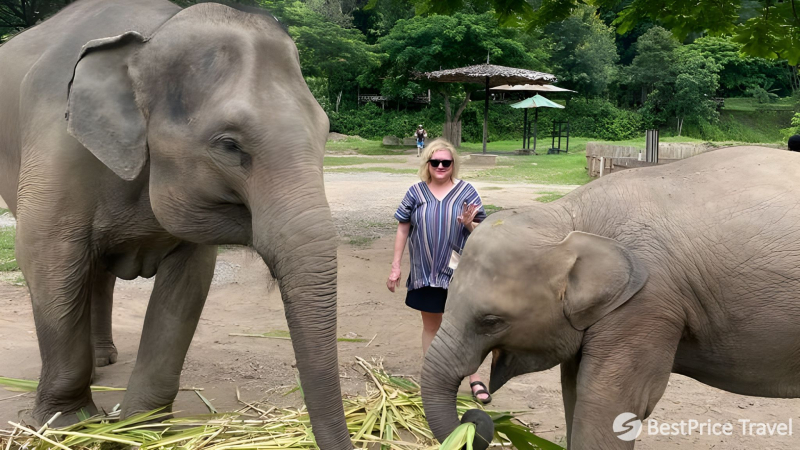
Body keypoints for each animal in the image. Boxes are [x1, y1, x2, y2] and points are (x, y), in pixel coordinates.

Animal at [0, 1, 353, 448]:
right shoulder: (55, 147)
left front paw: (143, 429)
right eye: (229, 145)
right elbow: (48, 257)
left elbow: (188, 284)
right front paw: (69, 424)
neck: (150, 37)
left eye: (325, 134)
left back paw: (104, 360)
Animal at [420, 147, 800, 449]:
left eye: (491, 321)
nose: (474, 415)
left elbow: (609, 402)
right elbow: (572, 389)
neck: (570, 218)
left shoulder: (646, 304)